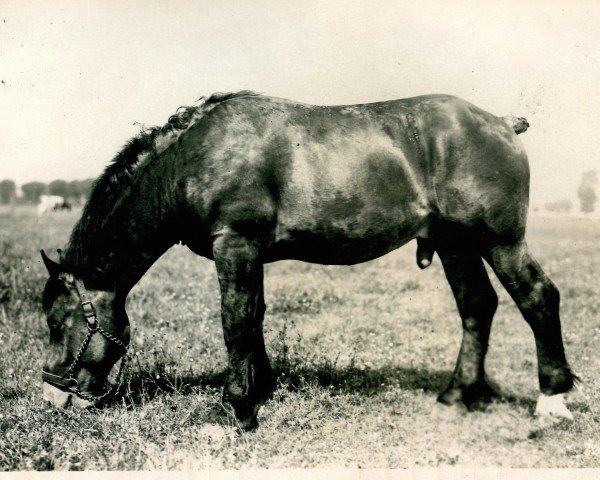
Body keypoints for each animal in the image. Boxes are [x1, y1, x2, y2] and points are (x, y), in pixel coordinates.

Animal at [38, 92, 576, 430]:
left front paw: (233, 410)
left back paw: (552, 400)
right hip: (455, 244)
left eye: (57, 323)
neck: (196, 158)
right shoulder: (250, 253)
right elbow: (254, 317)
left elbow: (235, 321)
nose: (52, 395)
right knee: (477, 306)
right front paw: (258, 391)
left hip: (500, 241)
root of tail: (501, 123)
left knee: (537, 298)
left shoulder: (235, 244)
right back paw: (457, 395)